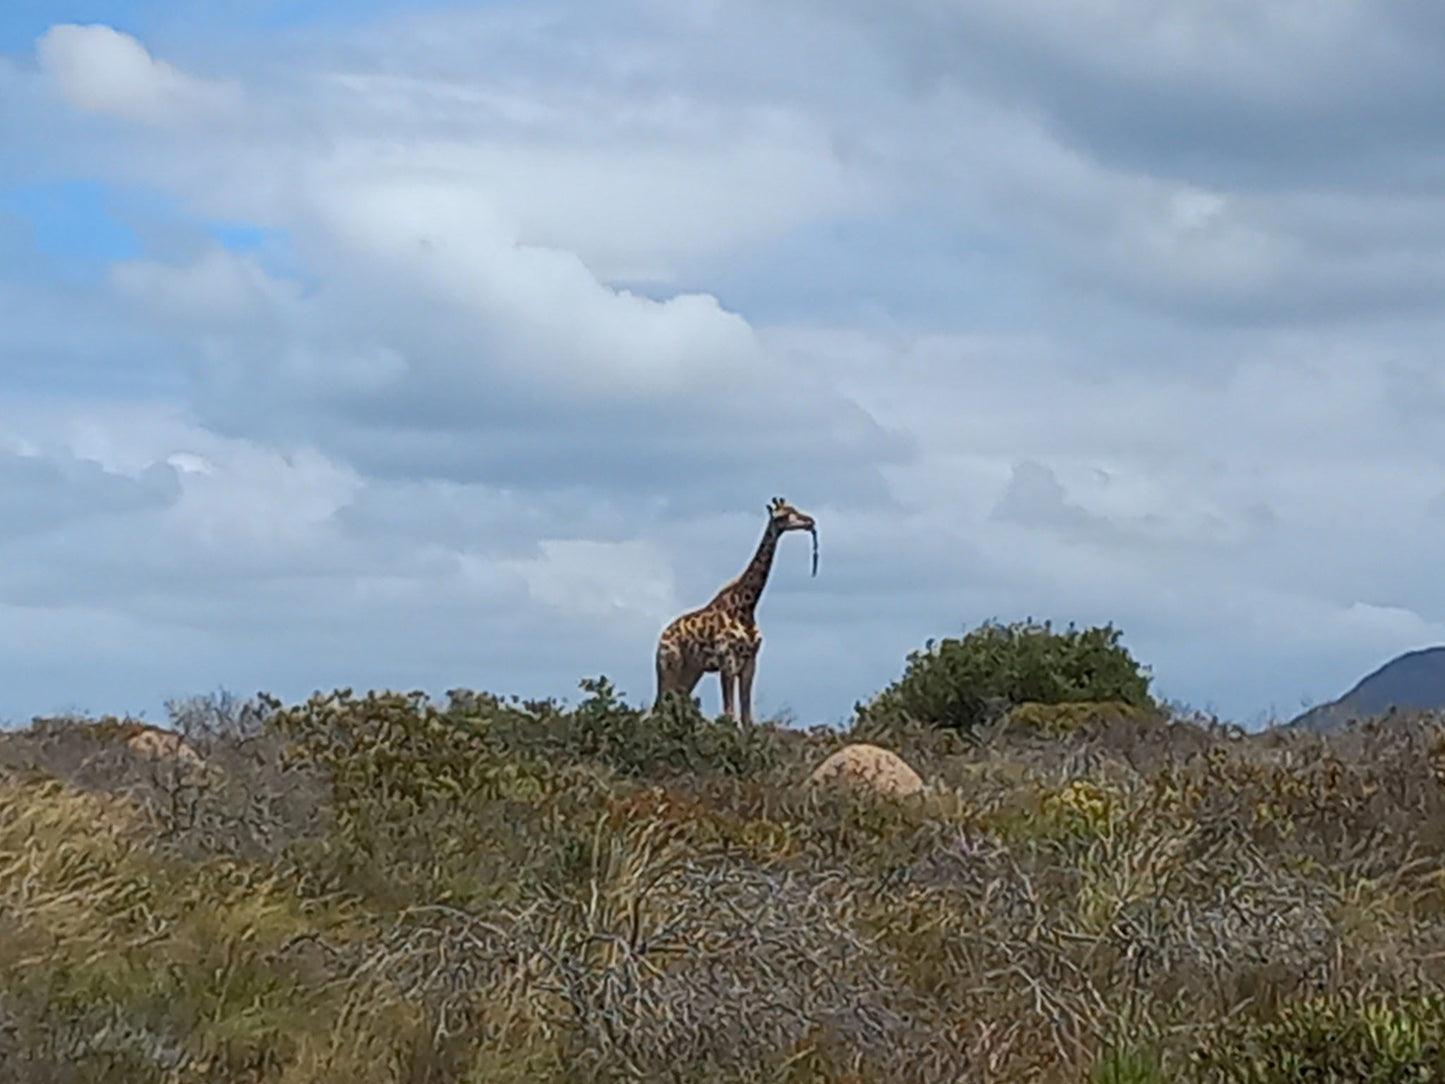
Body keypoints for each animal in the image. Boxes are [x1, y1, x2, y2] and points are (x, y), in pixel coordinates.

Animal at [653, 497, 814, 725]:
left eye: (796, 509)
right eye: (783, 516)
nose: (810, 522)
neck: (746, 608)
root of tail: (662, 637)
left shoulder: (750, 663)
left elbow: (747, 716)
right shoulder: (727, 661)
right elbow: (729, 713)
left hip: (692, 670)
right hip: (669, 665)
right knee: (659, 708)